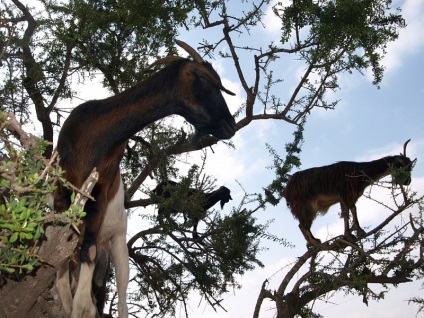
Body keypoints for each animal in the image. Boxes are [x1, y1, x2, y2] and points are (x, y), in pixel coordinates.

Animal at [52, 40, 235, 318]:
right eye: (206, 80)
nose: (231, 124)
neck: (96, 134)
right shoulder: (62, 189)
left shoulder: (100, 189)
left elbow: (87, 253)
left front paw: (82, 306)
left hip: (118, 247)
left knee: (121, 300)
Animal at [282, 140, 414, 248]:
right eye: (402, 166)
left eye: (410, 167)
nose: (408, 182)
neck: (361, 171)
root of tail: (287, 189)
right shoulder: (344, 195)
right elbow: (346, 214)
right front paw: (349, 236)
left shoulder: (351, 196)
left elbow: (353, 210)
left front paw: (359, 231)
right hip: (305, 205)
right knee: (302, 225)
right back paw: (315, 243)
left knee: (304, 225)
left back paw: (312, 242)